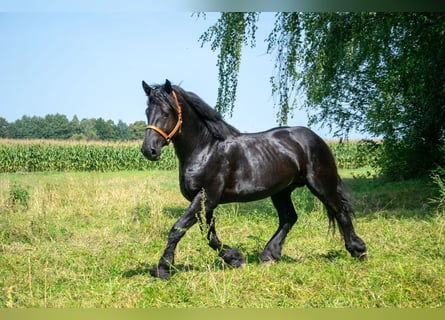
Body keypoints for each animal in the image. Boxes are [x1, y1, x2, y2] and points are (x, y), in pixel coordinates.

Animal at [140, 79, 366, 278]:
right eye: (147, 112)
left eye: (166, 112)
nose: (149, 150)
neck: (205, 149)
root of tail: (316, 138)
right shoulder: (205, 202)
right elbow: (210, 236)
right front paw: (235, 259)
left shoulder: (207, 197)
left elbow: (178, 228)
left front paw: (163, 269)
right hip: (281, 191)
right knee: (289, 218)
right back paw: (269, 255)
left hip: (320, 183)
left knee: (340, 212)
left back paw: (358, 250)